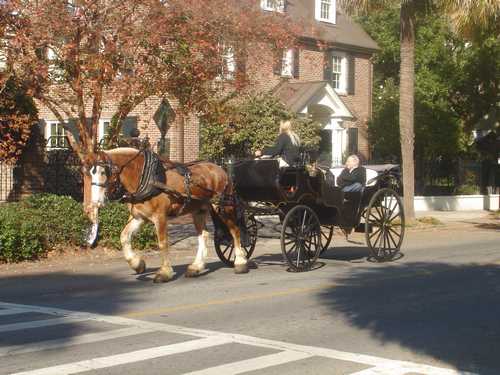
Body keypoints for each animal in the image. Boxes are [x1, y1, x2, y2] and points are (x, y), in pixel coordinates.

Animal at [88, 147, 250, 282]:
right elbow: (124, 236)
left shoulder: (160, 217)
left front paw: (164, 272)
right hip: (199, 210)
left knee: (235, 231)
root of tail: (220, 169)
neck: (145, 177)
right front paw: (137, 264)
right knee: (203, 235)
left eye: (103, 172)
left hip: (222, 207)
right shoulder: (139, 217)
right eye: (90, 173)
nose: (96, 201)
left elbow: (162, 243)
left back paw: (240, 262)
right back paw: (196, 267)